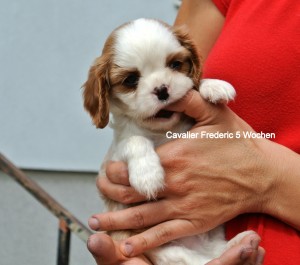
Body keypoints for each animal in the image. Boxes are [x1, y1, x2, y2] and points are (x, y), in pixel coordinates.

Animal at [82, 17, 251, 262]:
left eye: (175, 65)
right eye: (131, 80)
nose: (162, 89)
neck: (164, 129)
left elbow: (194, 84)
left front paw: (213, 85)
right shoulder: (114, 158)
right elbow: (135, 141)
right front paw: (147, 175)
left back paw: (242, 244)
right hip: (163, 248)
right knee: (195, 260)